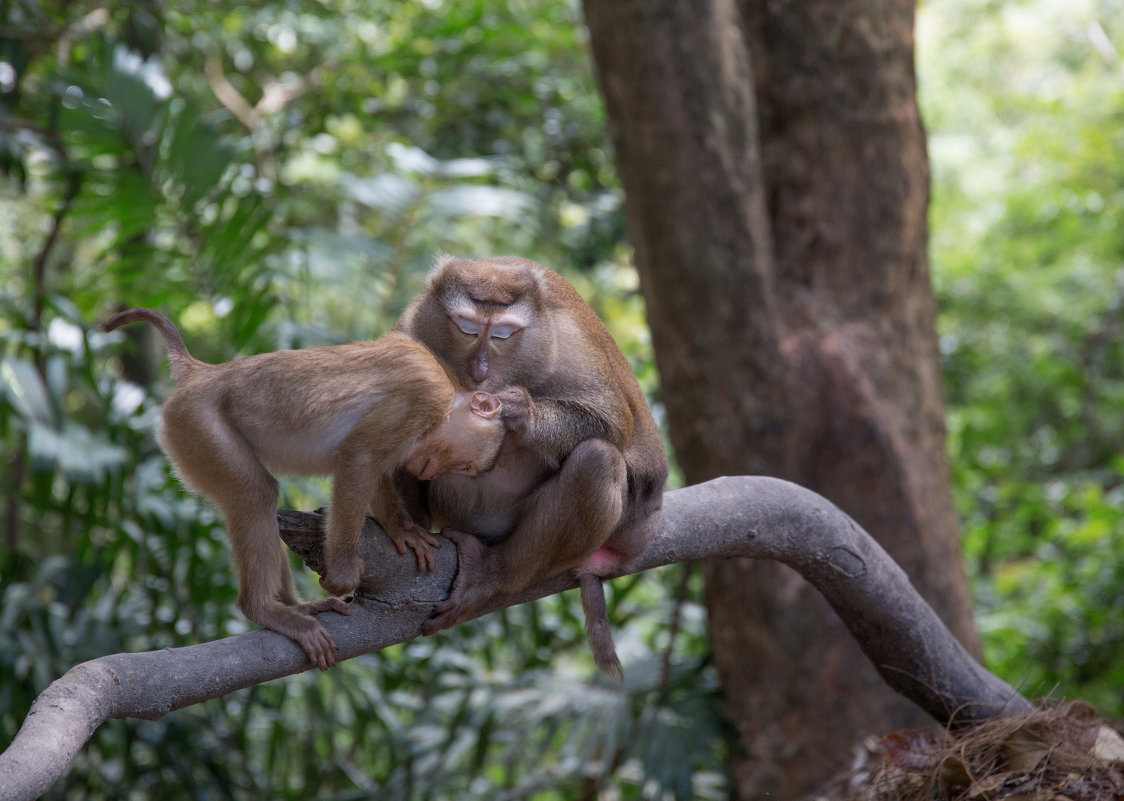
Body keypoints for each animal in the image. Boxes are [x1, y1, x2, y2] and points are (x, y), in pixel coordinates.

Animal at [101, 305, 505, 669]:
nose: (432, 471)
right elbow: (359, 458)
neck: (450, 390)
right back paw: (265, 609)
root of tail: (202, 373)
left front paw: (402, 530)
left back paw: (297, 606)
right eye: (464, 466)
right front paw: (343, 573)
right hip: (197, 424)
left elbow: (376, 469)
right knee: (255, 493)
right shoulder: (422, 398)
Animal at [395, 256, 665, 674]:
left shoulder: (567, 339)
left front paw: (520, 412)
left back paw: (494, 575)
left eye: (503, 335)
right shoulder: (414, 327)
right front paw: (402, 528)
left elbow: (612, 419)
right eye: (466, 328)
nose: (480, 371)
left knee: (598, 458)